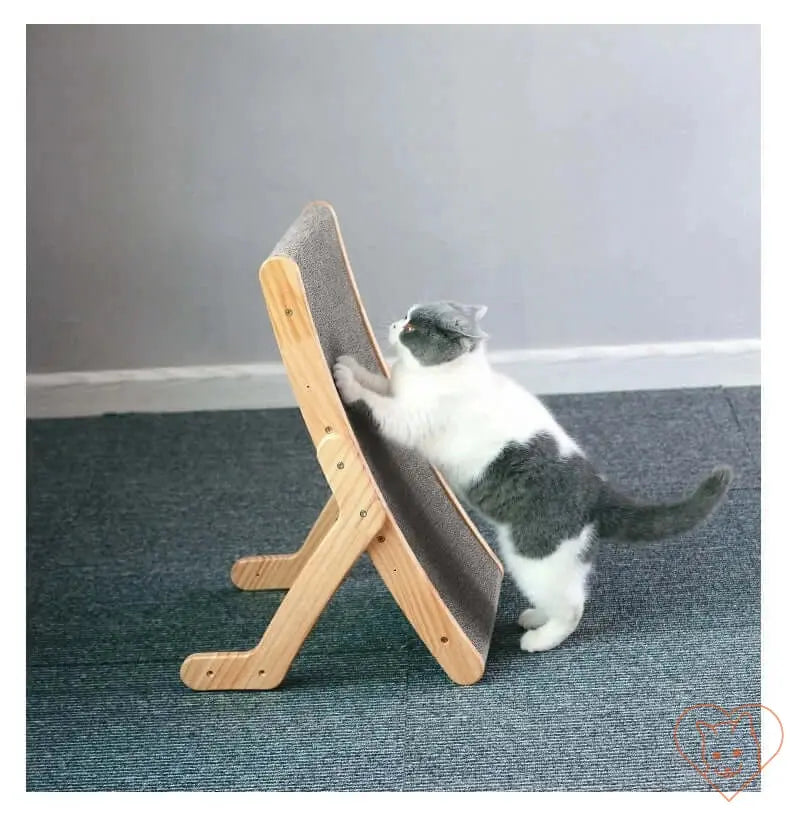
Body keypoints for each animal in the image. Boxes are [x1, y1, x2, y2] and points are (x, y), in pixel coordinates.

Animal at [332, 302, 732, 652]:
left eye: (413, 327)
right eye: (406, 316)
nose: (395, 323)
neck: (431, 374)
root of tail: (597, 490)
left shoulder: (411, 419)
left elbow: (377, 404)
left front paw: (345, 379)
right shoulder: (397, 389)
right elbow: (380, 383)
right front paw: (353, 365)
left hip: (532, 556)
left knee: (572, 608)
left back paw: (539, 639)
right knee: (571, 592)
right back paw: (536, 616)